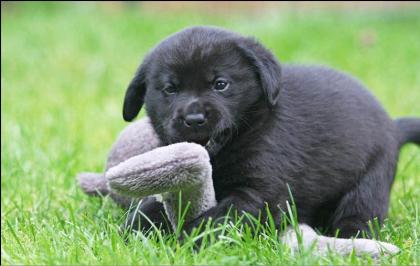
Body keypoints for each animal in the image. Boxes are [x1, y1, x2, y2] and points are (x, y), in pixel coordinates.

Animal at [121, 26, 420, 237]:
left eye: (220, 84)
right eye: (170, 89)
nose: (194, 119)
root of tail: (393, 127)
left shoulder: (258, 192)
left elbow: (223, 216)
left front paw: (191, 237)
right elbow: (150, 205)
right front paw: (137, 228)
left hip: (371, 179)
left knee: (360, 213)